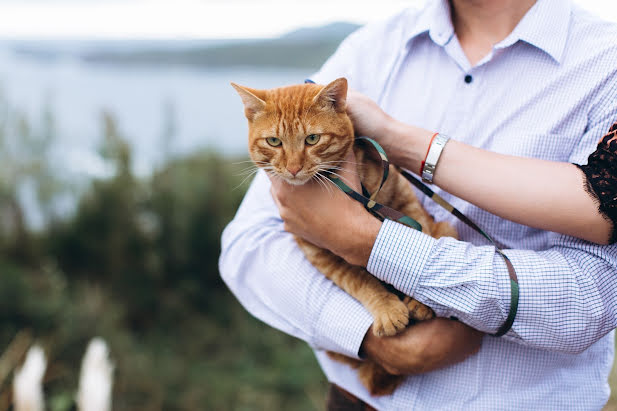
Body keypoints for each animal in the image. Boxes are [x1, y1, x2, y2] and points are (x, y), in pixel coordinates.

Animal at [231, 77, 458, 396]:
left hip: (448, 228)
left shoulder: (405, 203)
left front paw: (421, 301)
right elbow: (361, 280)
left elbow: (420, 243)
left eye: (312, 139)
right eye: (274, 142)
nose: (293, 168)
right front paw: (387, 309)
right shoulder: (320, 253)